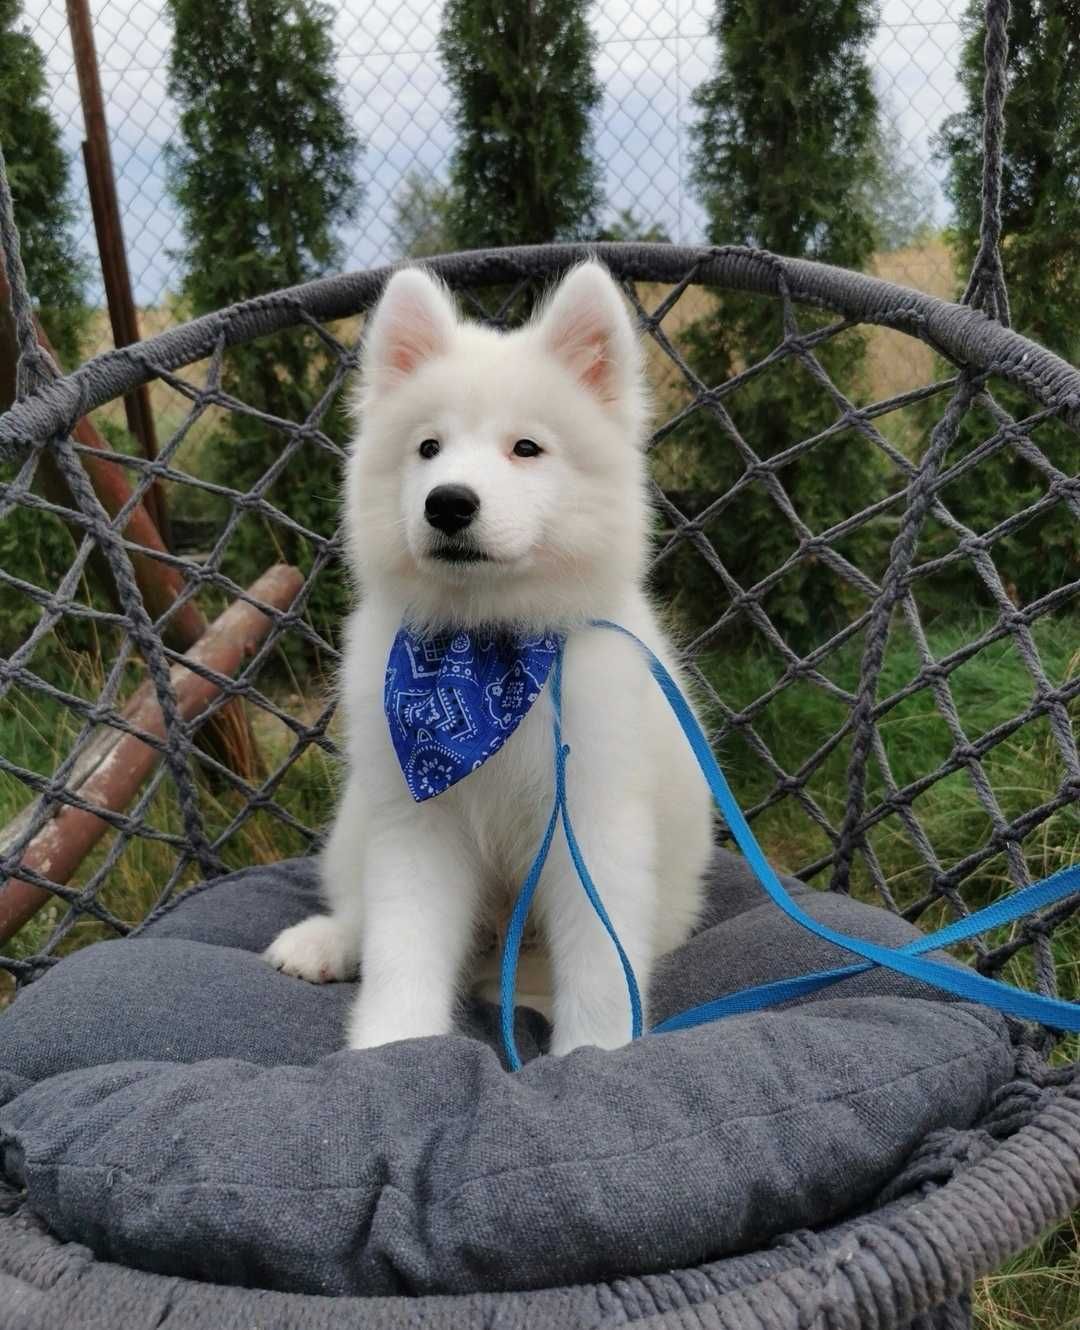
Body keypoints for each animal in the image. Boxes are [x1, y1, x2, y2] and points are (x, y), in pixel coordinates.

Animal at [266, 259, 712, 1053]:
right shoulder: (417, 821)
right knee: (360, 906)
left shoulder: (591, 817)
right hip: (360, 816)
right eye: (428, 449)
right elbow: (404, 940)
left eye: (526, 449)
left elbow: (600, 958)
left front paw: (595, 1050)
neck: (488, 650)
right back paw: (328, 941)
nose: (447, 503)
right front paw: (392, 1043)